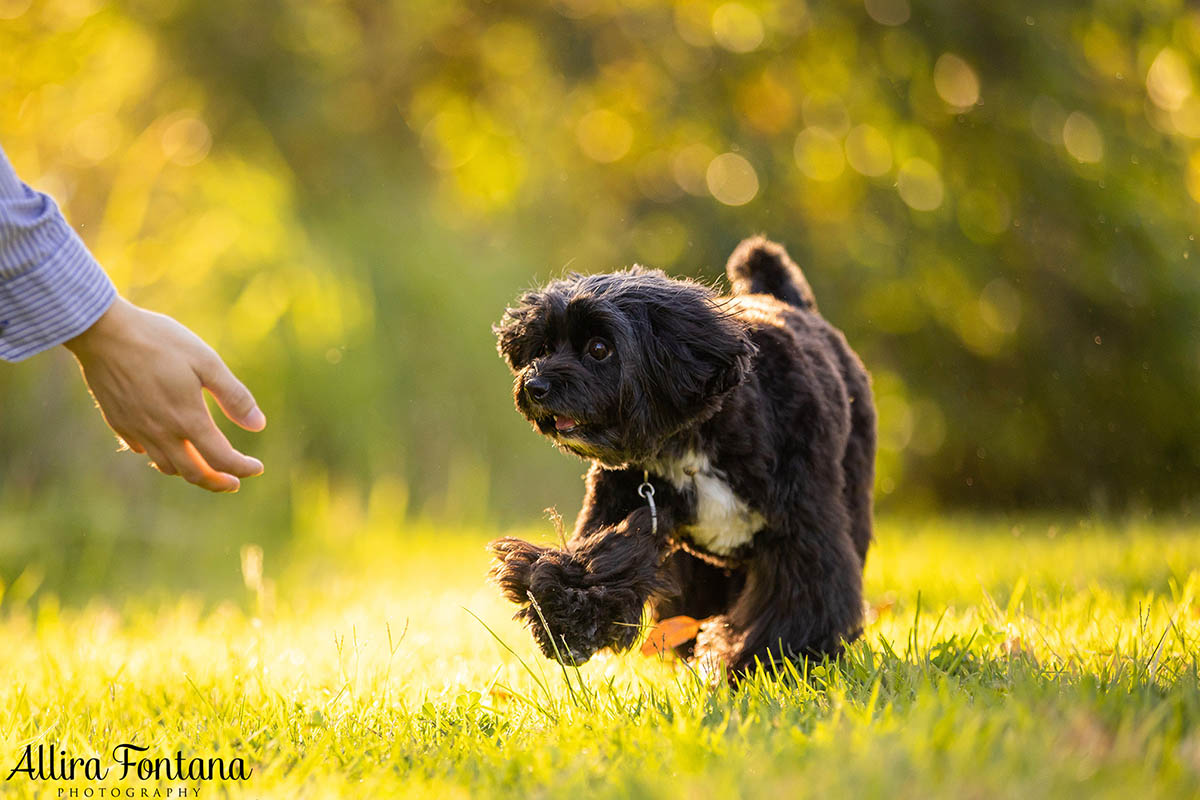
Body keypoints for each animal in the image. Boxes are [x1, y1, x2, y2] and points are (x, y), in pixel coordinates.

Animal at [487, 237, 873, 676]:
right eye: (545, 346)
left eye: (599, 349)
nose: (535, 385)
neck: (693, 438)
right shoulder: (623, 501)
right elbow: (598, 559)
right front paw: (568, 615)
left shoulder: (801, 529)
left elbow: (800, 600)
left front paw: (766, 661)